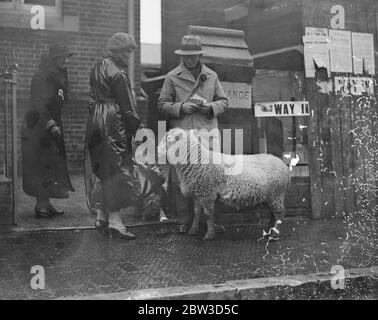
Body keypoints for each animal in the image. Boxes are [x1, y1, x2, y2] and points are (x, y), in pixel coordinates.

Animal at [157, 127, 290, 240]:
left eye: (169, 138)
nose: (157, 150)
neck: (198, 160)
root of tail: (284, 165)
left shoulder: (207, 193)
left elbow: (208, 215)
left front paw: (209, 235)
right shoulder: (198, 193)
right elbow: (196, 213)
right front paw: (193, 230)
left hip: (276, 194)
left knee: (279, 215)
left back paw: (274, 234)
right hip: (270, 196)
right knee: (272, 214)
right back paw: (268, 231)